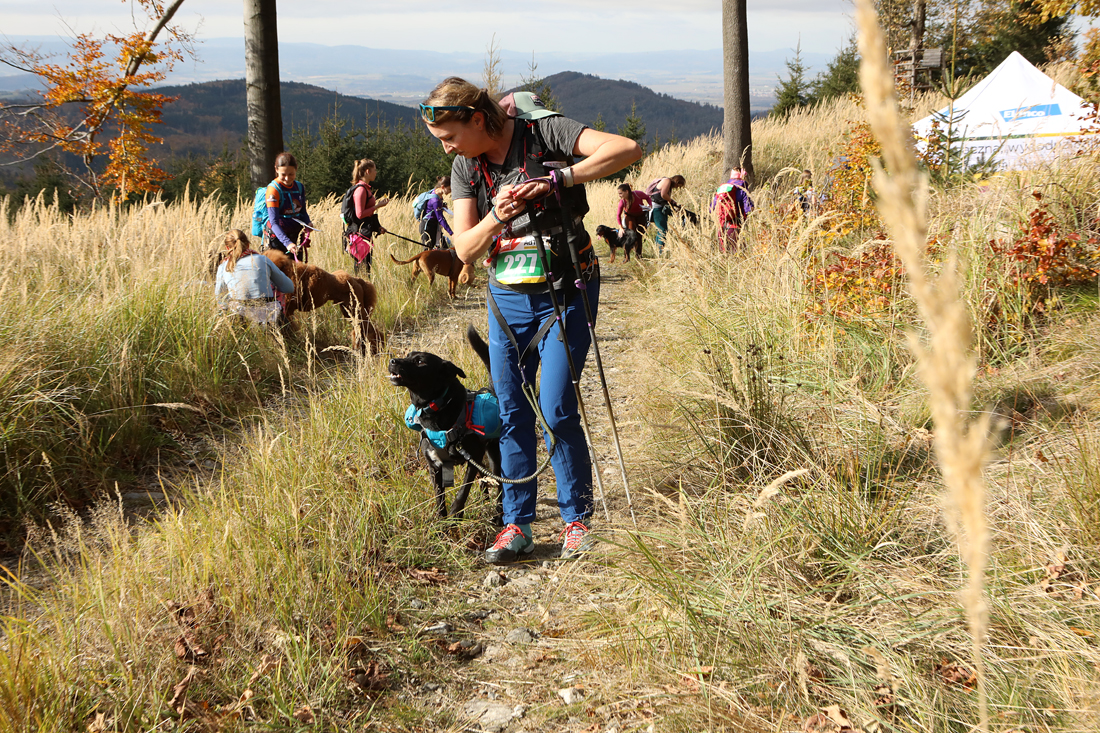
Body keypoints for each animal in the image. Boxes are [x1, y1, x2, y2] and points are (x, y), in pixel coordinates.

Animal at [389, 325, 502, 521]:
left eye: (420, 361)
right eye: (407, 355)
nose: (392, 360)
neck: (435, 409)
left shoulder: (472, 456)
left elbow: (462, 492)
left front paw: (455, 516)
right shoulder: (434, 466)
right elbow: (439, 498)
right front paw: (441, 522)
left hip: (494, 455)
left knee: (501, 485)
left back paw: (499, 513)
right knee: (483, 478)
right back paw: (485, 501)